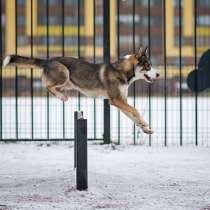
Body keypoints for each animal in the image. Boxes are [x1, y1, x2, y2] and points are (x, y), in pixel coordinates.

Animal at [2, 46, 159, 135]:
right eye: (148, 66)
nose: (158, 75)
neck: (122, 71)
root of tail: (47, 60)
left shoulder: (121, 101)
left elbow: (132, 115)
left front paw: (145, 129)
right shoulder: (116, 100)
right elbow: (135, 110)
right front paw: (145, 124)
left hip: (68, 83)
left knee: (54, 87)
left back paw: (62, 95)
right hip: (64, 73)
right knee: (48, 86)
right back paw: (62, 97)